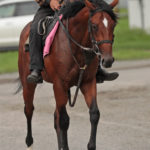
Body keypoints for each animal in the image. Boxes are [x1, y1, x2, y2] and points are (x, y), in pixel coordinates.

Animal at [17, 0, 118, 149]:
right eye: (94, 26)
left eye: (113, 25)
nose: (108, 60)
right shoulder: (59, 85)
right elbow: (64, 121)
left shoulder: (88, 82)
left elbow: (94, 114)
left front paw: (90, 145)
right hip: (28, 84)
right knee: (29, 110)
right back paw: (29, 143)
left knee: (55, 117)